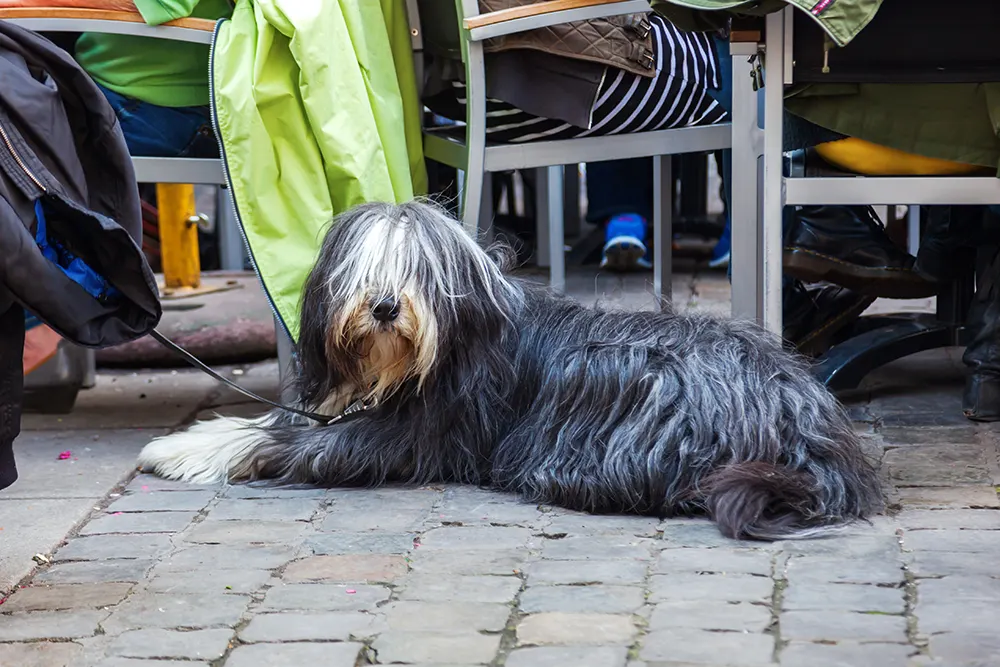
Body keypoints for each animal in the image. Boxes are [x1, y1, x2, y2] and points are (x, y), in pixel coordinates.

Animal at [139, 198, 884, 536]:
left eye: (418, 270)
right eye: (365, 269)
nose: (384, 306)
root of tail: (811, 425)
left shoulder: (411, 435)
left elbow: (284, 442)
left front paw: (178, 451)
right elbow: (274, 422)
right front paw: (185, 440)